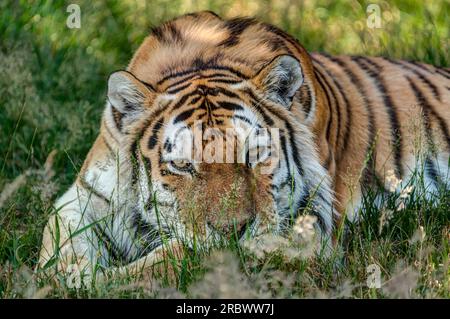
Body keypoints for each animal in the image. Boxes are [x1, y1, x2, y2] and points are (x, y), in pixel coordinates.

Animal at [37, 11, 448, 284]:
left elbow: (179, 256)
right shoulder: (84, 197)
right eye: (183, 165)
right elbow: (61, 247)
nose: (233, 230)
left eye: (255, 155)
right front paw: (64, 278)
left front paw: (104, 282)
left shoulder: (309, 220)